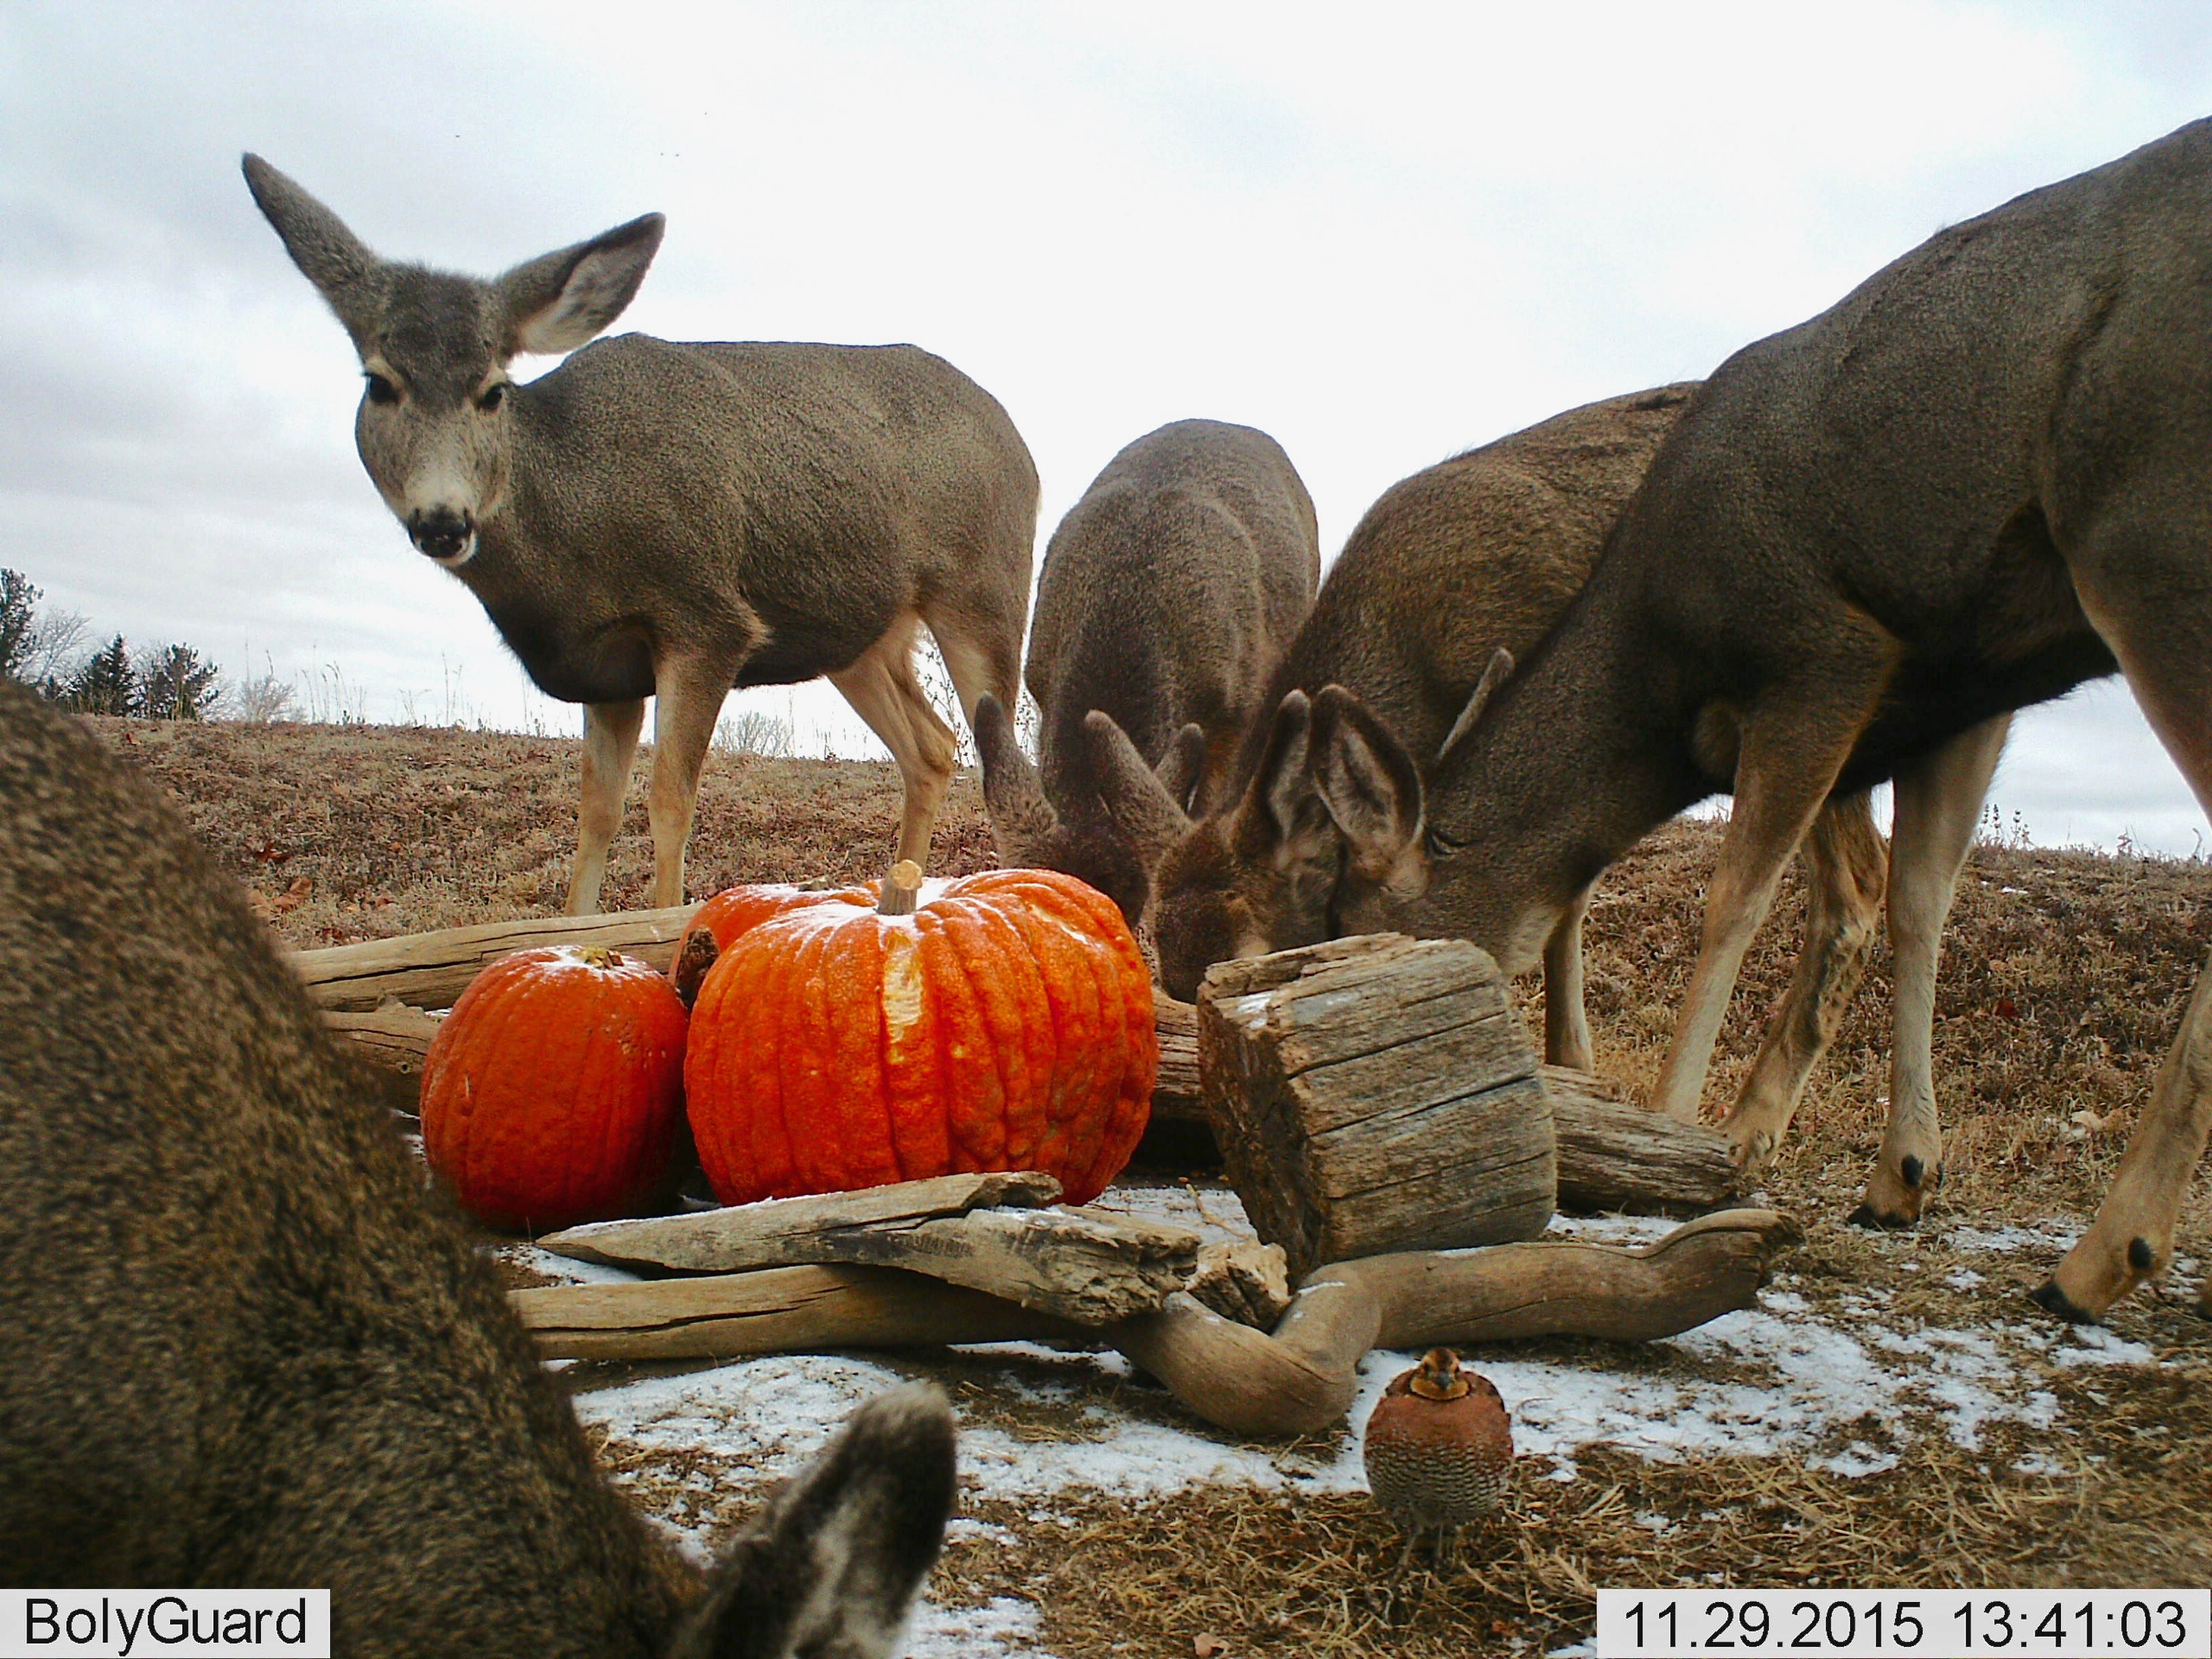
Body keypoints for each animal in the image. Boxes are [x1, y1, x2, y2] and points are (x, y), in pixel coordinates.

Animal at [246, 157, 1040, 916]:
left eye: (493, 389)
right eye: (379, 383)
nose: (444, 520)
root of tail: (1019, 439)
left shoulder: (704, 618)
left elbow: (669, 802)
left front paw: (664, 927)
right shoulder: (606, 670)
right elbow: (595, 813)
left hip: (983, 590)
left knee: (1003, 765)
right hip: (857, 639)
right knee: (932, 749)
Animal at [1283, 120, 2212, 1327]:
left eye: (1353, 931)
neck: (1657, 669)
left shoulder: (1824, 650)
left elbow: (1734, 900)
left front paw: (1669, 1135)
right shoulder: (1960, 694)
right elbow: (1921, 902)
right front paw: (1903, 1170)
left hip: (2155, 544)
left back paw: (2106, 1250)